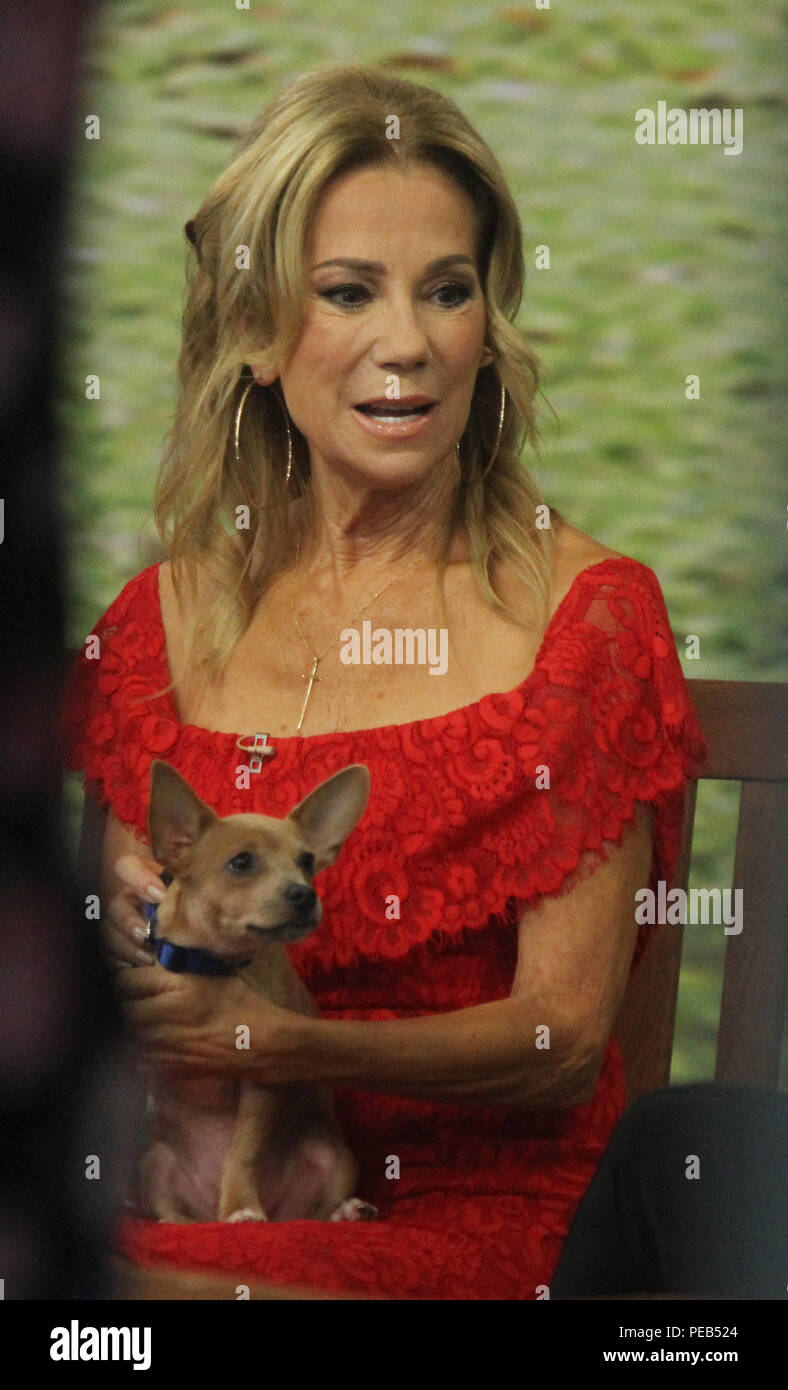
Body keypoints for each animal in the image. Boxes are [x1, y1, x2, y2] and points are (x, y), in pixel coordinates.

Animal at [135, 761, 375, 1228]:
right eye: (241, 862)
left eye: (307, 861)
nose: (305, 893)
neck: (210, 965)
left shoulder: (264, 1074)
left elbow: (243, 1150)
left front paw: (242, 1206)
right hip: (154, 1163)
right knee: (171, 1216)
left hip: (336, 1158)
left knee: (315, 1213)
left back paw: (346, 1213)